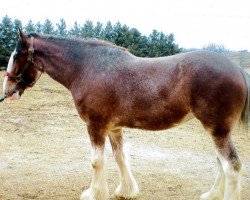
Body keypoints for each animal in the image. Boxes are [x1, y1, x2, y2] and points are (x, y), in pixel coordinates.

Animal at [1, 28, 250, 200]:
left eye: (16, 56)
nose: (7, 91)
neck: (88, 68)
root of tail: (238, 69)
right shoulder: (114, 128)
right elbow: (121, 157)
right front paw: (125, 191)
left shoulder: (95, 126)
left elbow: (96, 161)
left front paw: (93, 193)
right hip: (215, 130)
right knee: (221, 163)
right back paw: (211, 195)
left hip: (217, 130)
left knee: (232, 166)